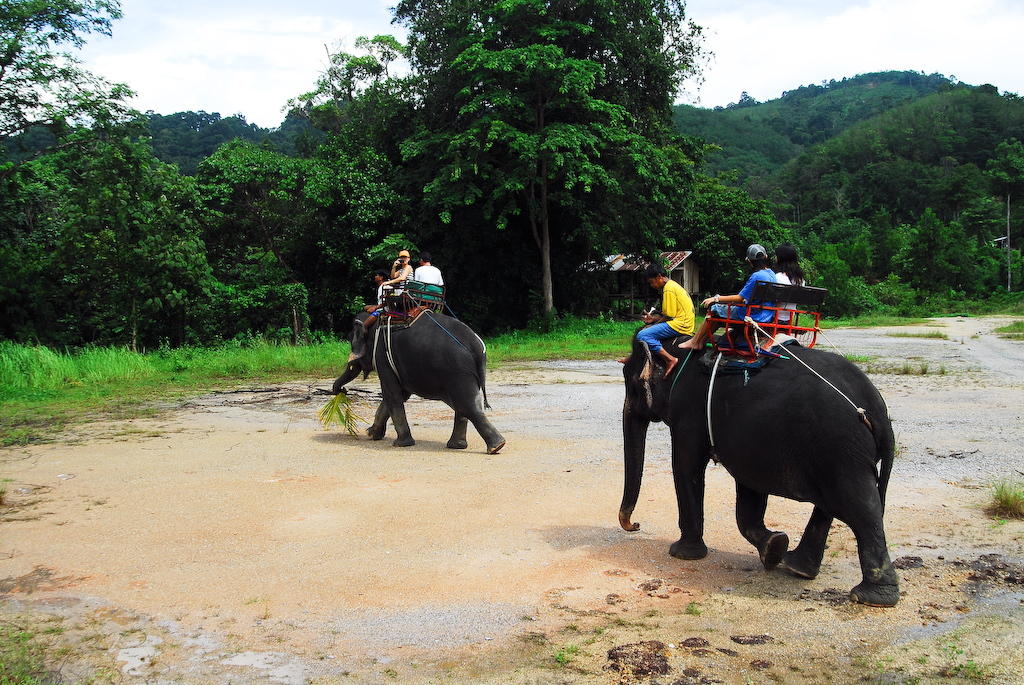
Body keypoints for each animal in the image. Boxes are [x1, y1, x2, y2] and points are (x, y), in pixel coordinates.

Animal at [333, 311, 505, 454]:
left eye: (351, 342)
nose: (341, 390)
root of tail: (476, 347)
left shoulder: (383, 354)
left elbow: (392, 394)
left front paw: (400, 444)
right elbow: (401, 395)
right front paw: (371, 434)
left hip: (456, 370)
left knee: (466, 406)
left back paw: (496, 446)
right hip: (461, 372)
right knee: (465, 405)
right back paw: (462, 446)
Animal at [614, 333, 897, 606]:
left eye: (632, 384)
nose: (635, 525)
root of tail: (879, 412)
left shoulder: (689, 411)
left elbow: (687, 464)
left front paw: (682, 554)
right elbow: (749, 489)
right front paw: (774, 547)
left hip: (841, 447)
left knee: (859, 507)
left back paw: (871, 598)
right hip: (835, 451)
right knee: (832, 506)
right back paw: (798, 568)